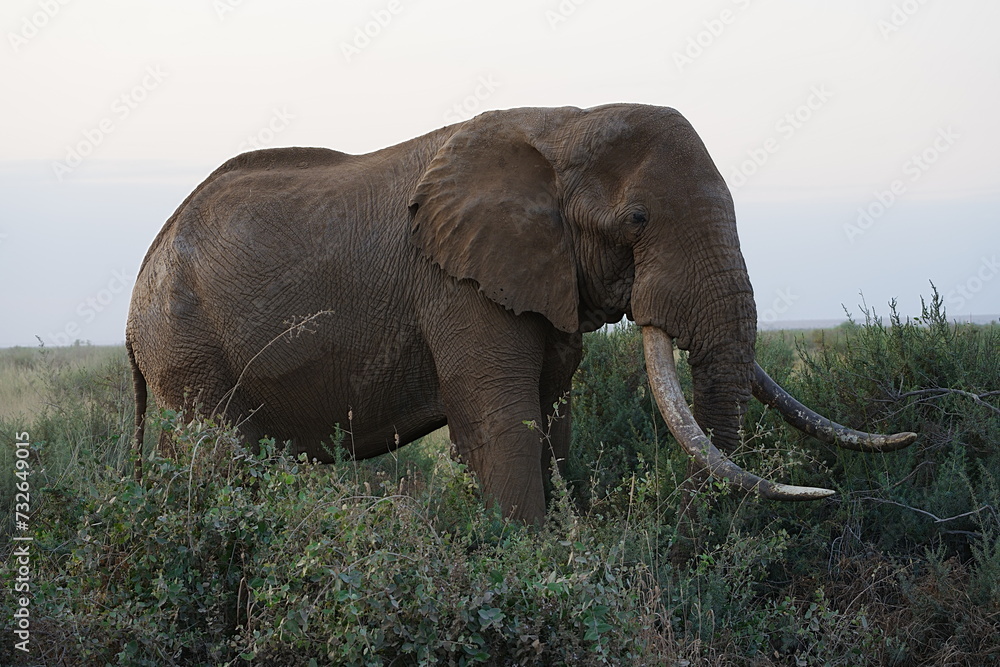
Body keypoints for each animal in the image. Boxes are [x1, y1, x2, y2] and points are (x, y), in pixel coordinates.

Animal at [126, 104, 916, 522]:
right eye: (637, 219)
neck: (563, 125)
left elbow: (553, 417)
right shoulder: (458, 285)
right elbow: (504, 421)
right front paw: (530, 554)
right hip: (189, 346)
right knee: (217, 458)